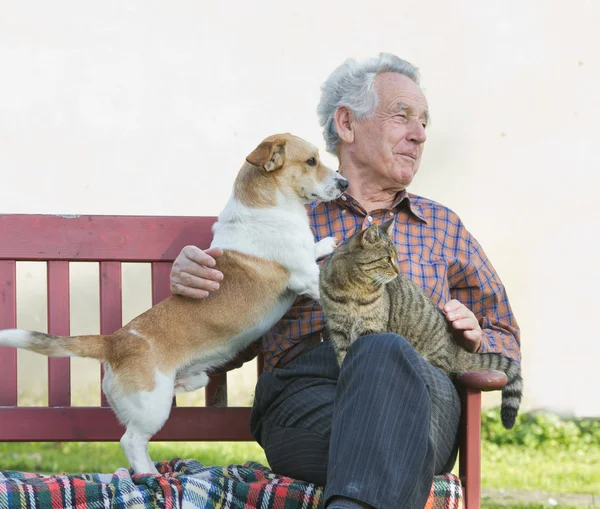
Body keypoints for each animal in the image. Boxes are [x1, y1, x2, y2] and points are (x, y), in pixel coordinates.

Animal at [0, 133, 346, 474]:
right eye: (312, 161)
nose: (344, 183)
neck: (267, 208)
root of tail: (113, 342)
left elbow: (316, 249)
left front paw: (328, 243)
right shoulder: (305, 276)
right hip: (153, 406)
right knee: (131, 442)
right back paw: (150, 476)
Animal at [318, 220, 520, 426]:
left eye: (396, 257)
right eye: (387, 259)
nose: (398, 271)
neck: (353, 289)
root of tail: (453, 347)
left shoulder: (371, 329)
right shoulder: (338, 331)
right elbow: (343, 360)